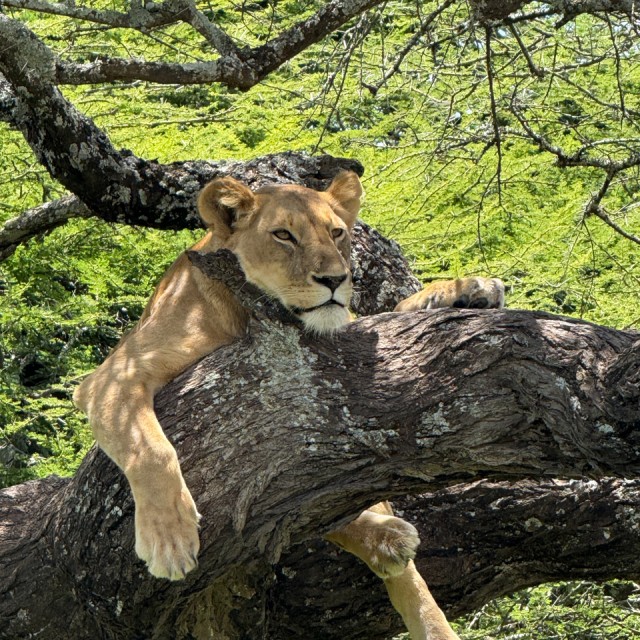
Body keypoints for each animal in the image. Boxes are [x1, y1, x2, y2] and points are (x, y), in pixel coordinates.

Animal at [74, 171, 503, 639]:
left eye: (337, 233)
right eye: (283, 235)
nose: (335, 279)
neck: (245, 312)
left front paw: (463, 290)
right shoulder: (113, 376)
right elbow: (151, 450)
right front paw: (168, 539)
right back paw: (388, 539)